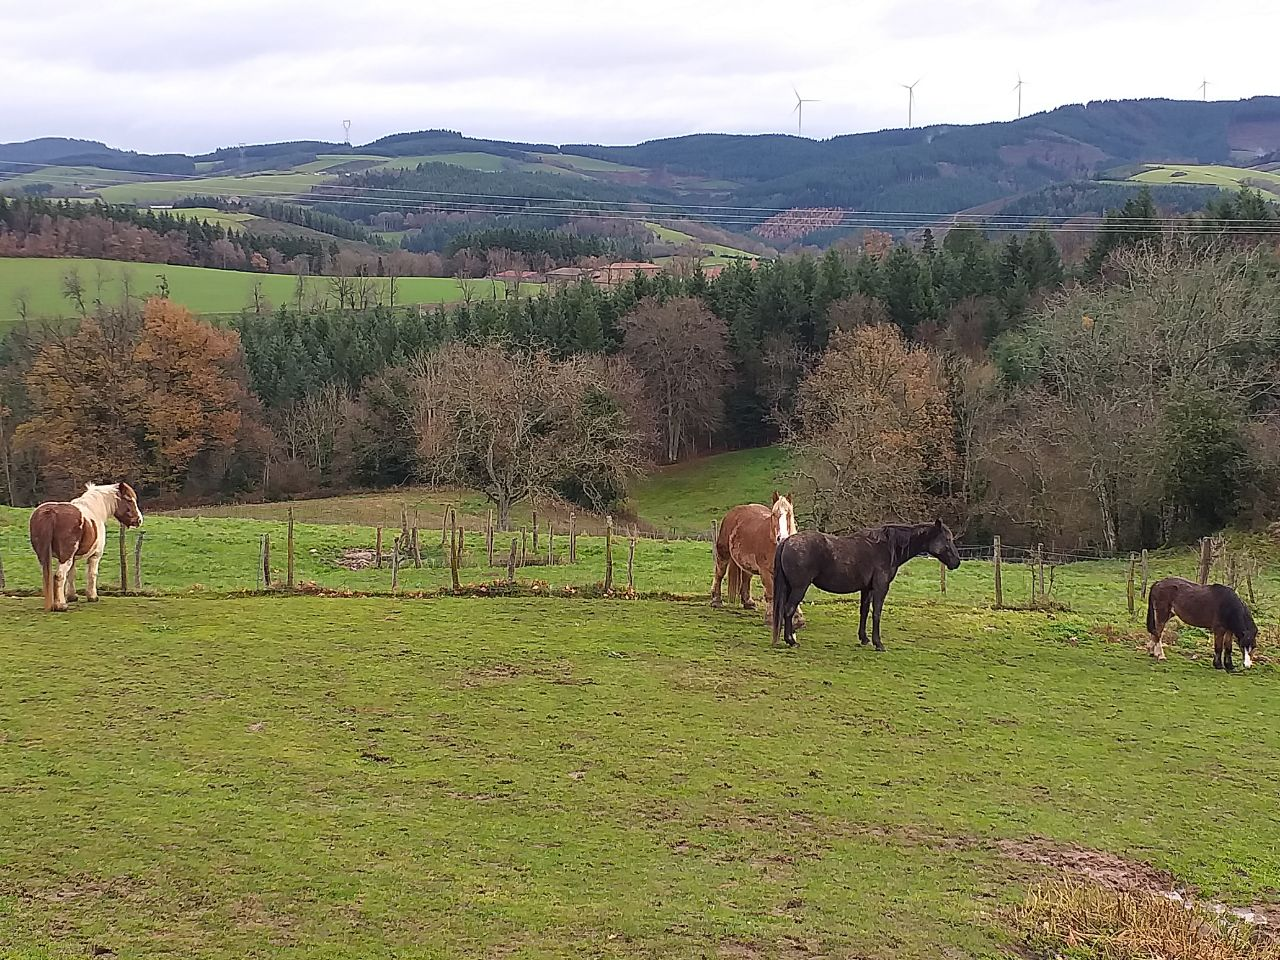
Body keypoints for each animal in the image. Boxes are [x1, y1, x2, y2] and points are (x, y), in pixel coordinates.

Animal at [29, 482, 143, 612]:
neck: (95, 510)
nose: (139, 520)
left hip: (44, 556)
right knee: (59, 576)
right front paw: (92, 597)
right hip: (65, 556)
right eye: (129, 499)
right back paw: (61, 605)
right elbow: (92, 574)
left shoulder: (73, 558)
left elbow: (71, 574)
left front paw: (72, 596)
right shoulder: (95, 555)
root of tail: (51, 512)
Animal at [711, 492, 804, 629]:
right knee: (719, 574)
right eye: (774, 514)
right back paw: (716, 600)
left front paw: (798, 619)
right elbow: (770, 593)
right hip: (723, 554)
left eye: (789, 514)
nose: (781, 537)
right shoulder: (765, 572)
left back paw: (748, 602)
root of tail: (734, 511)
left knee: (746, 577)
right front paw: (770, 618)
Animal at [771, 519, 961, 649]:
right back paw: (791, 641)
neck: (886, 548)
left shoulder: (867, 589)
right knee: (788, 610)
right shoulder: (880, 587)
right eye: (947, 539)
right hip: (799, 588)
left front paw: (864, 639)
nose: (957, 562)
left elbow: (863, 612)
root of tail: (787, 541)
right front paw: (879, 644)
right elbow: (876, 613)